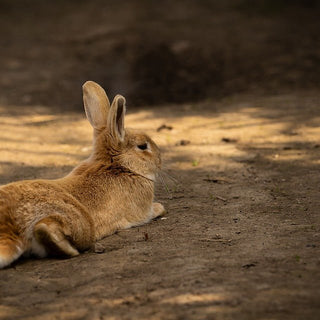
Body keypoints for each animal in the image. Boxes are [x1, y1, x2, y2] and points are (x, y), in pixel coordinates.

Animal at [0, 80, 165, 268]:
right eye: (143, 146)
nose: (160, 160)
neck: (117, 165)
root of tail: (10, 224)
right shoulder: (143, 211)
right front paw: (160, 207)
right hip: (80, 222)